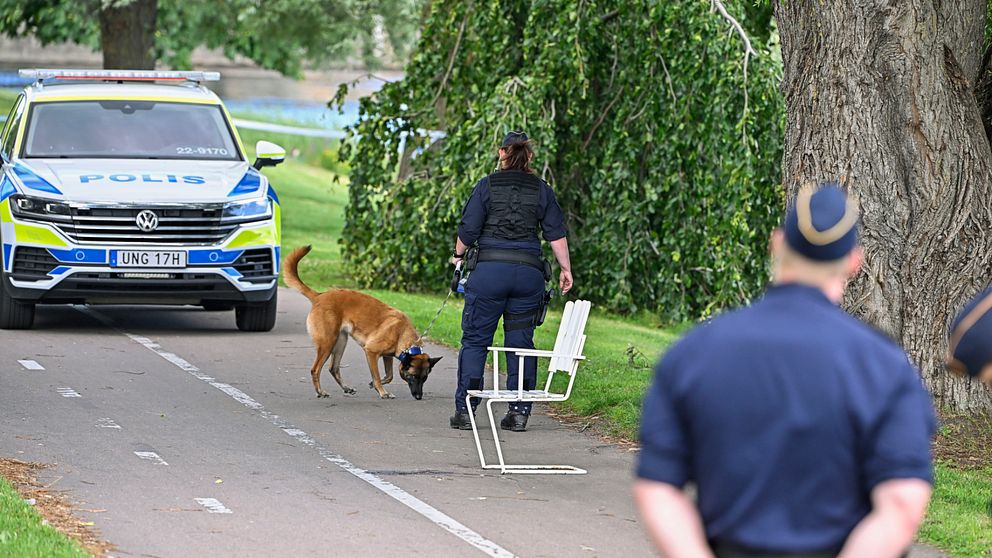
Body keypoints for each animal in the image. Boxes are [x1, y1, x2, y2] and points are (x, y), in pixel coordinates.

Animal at [280, 245, 440, 398]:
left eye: (424, 378)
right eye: (412, 376)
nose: (419, 396)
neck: (402, 333)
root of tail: (319, 296)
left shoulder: (387, 356)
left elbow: (389, 376)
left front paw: (373, 385)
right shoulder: (371, 352)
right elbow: (377, 376)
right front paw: (382, 392)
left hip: (340, 342)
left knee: (333, 368)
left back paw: (346, 388)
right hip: (328, 343)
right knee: (315, 369)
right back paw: (320, 392)